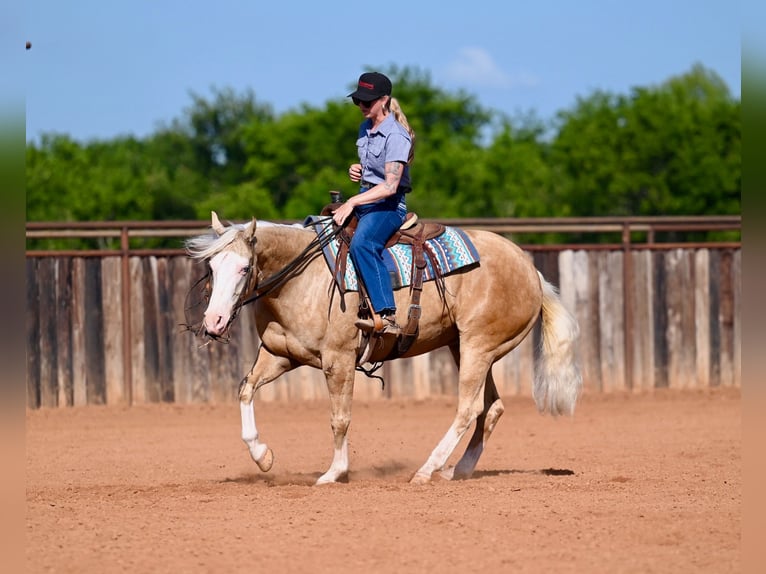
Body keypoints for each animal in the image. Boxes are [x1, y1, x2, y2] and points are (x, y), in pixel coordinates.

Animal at [185, 211, 582, 485]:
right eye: (212, 267)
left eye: (244, 267)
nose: (214, 321)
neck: (302, 278)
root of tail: (531, 271)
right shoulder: (280, 356)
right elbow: (246, 389)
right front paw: (262, 456)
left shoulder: (338, 360)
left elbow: (340, 418)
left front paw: (334, 473)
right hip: (463, 346)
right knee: (492, 408)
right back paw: (457, 470)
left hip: (478, 347)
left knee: (469, 409)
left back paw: (426, 470)